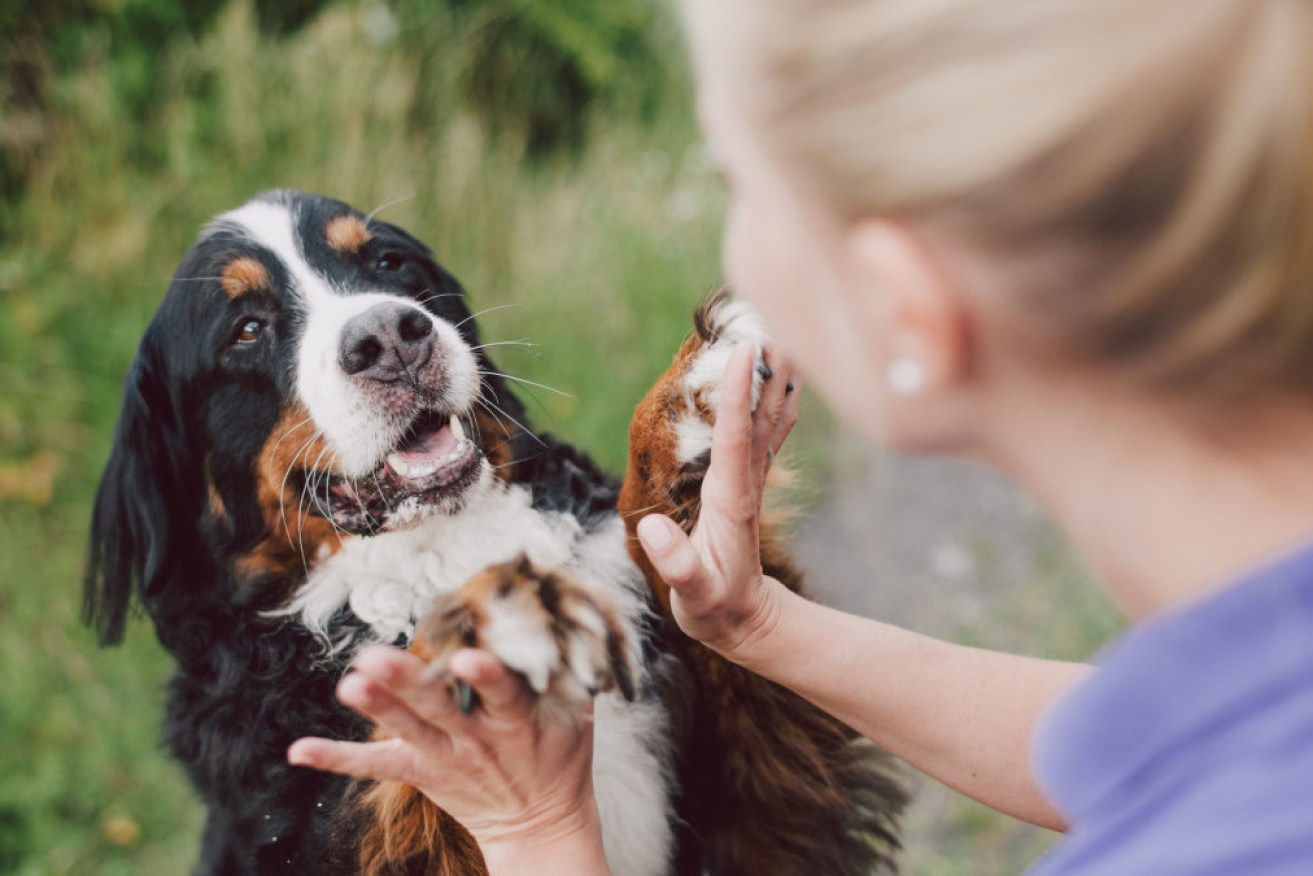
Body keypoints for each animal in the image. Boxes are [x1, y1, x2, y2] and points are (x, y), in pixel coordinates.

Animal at [82, 191, 903, 876]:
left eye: (386, 262)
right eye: (247, 330)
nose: (390, 335)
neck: (443, 548)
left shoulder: (757, 808)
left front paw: (684, 407)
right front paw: (499, 614)